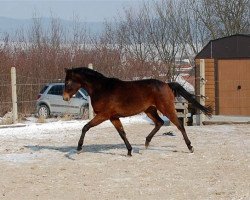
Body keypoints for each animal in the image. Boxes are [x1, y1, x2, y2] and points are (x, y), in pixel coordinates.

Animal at [62, 67, 211, 156]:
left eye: (68, 82)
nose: (65, 98)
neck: (101, 88)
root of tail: (167, 84)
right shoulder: (113, 117)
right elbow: (122, 133)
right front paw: (129, 151)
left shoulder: (104, 115)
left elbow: (85, 127)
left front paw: (79, 148)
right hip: (149, 110)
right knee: (159, 123)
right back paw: (146, 143)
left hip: (166, 108)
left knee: (179, 126)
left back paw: (190, 147)